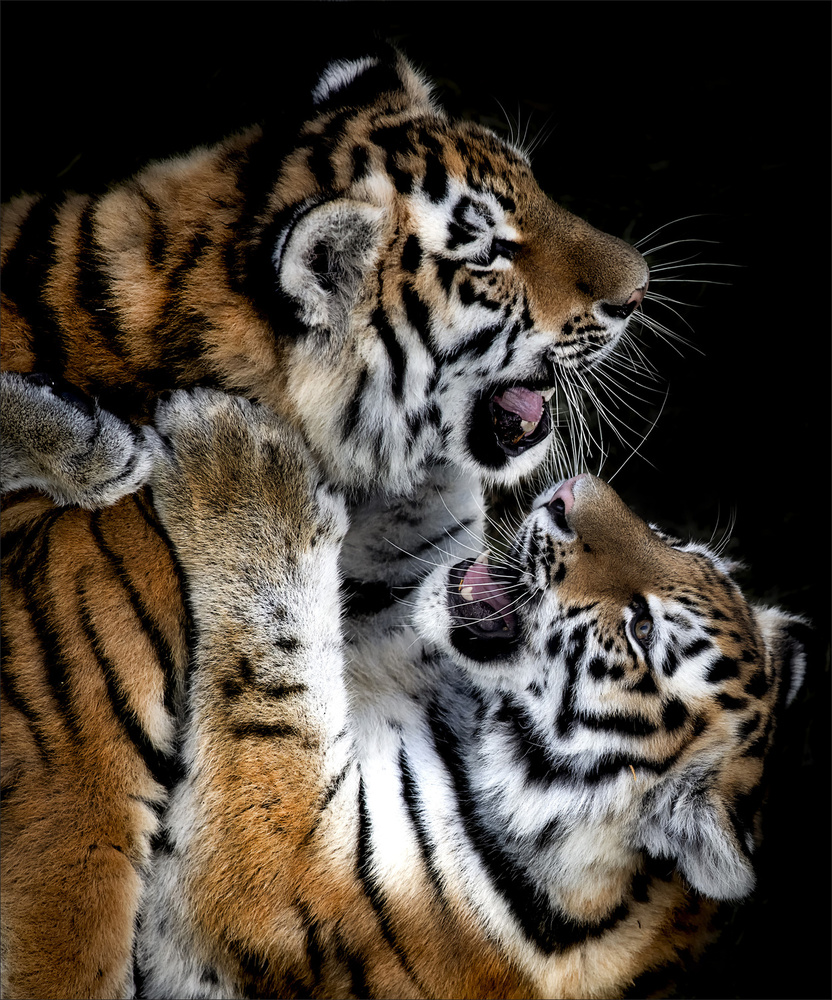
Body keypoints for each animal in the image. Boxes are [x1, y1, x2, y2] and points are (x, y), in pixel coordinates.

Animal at [133, 388, 803, 998]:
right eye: (671, 538)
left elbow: (280, 668)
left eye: (643, 630)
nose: (568, 494)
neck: (466, 721)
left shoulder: (291, 871)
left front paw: (231, 456)